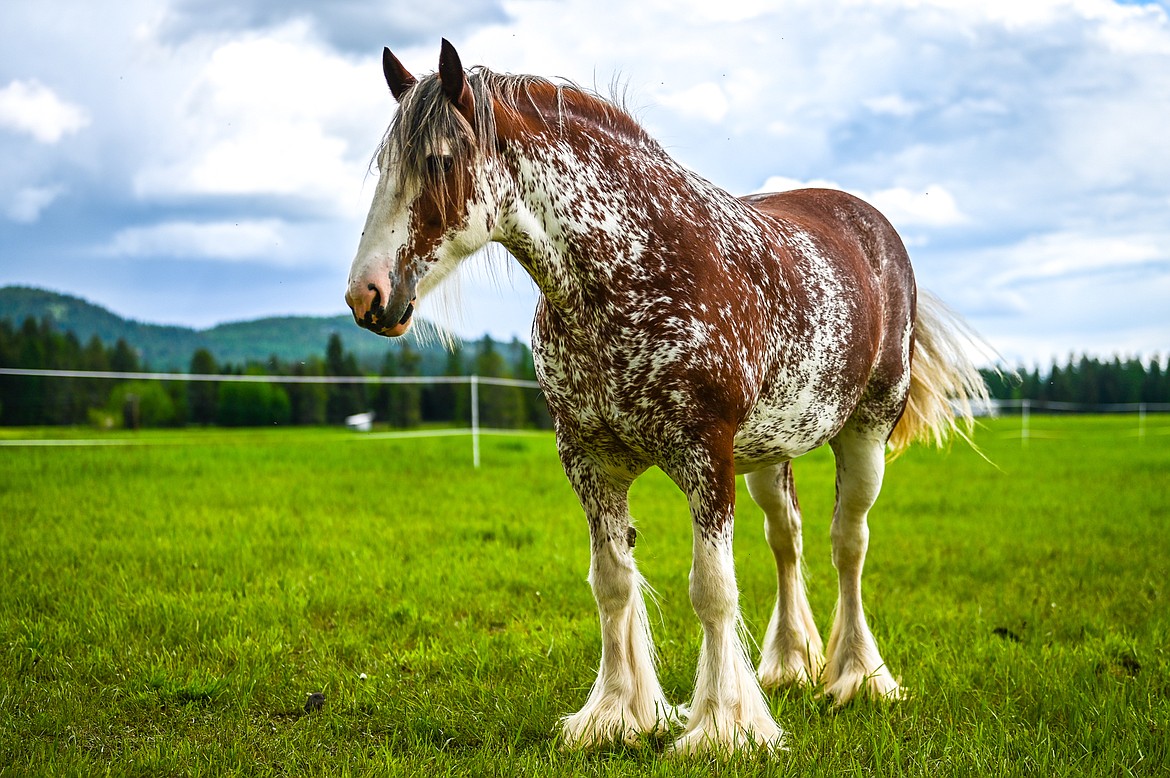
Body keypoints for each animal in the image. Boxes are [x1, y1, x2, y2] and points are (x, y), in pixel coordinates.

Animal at [343, 38, 987, 753]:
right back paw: (792, 663)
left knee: (848, 544)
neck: (634, 269)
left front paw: (722, 727)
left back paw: (858, 678)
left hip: (865, 433)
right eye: (384, 167)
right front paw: (616, 715)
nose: (367, 295)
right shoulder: (590, 460)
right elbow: (612, 584)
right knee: (787, 538)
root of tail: (877, 229)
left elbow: (712, 590)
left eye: (438, 161)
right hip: (769, 452)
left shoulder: (706, 458)